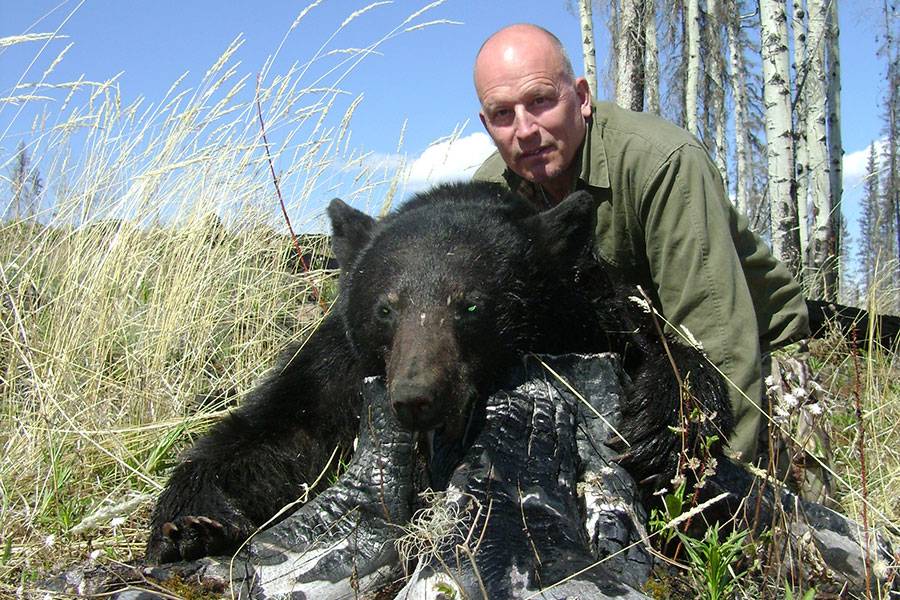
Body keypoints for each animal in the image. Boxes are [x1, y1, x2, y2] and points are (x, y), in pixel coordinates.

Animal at [146, 180, 732, 564]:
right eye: (386, 308)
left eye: (470, 305)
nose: (416, 397)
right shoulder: (341, 361)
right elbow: (283, 431)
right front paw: (190, 522)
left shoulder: (596, 311)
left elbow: (668, 353)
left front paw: (663, 429)